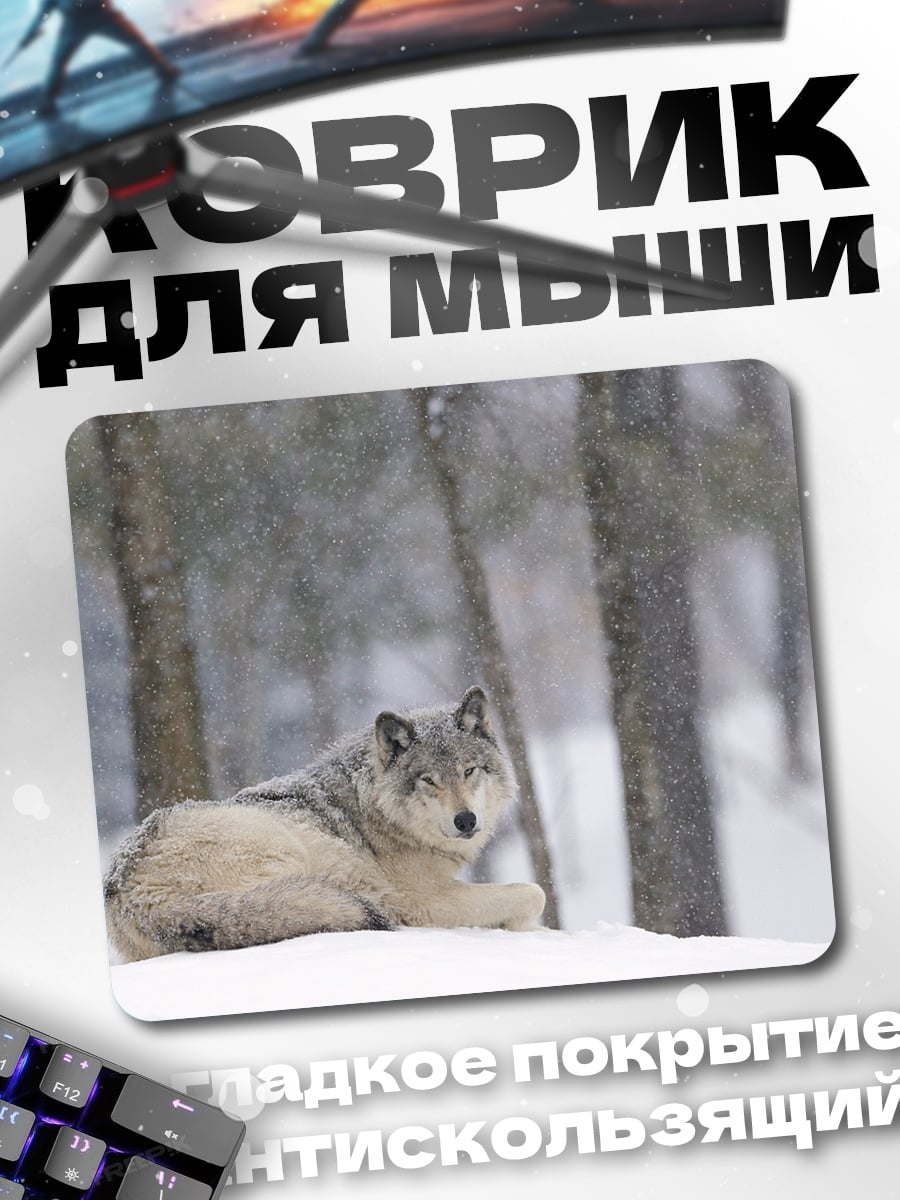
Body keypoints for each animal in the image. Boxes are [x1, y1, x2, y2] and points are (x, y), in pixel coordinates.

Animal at [104, 686, 546, 961]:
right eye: (429, 780)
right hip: (283, 849)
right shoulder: (427, 902)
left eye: (469, 771)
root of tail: (128, 892)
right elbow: (533, 893)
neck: (378, 812)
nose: (466, 820)